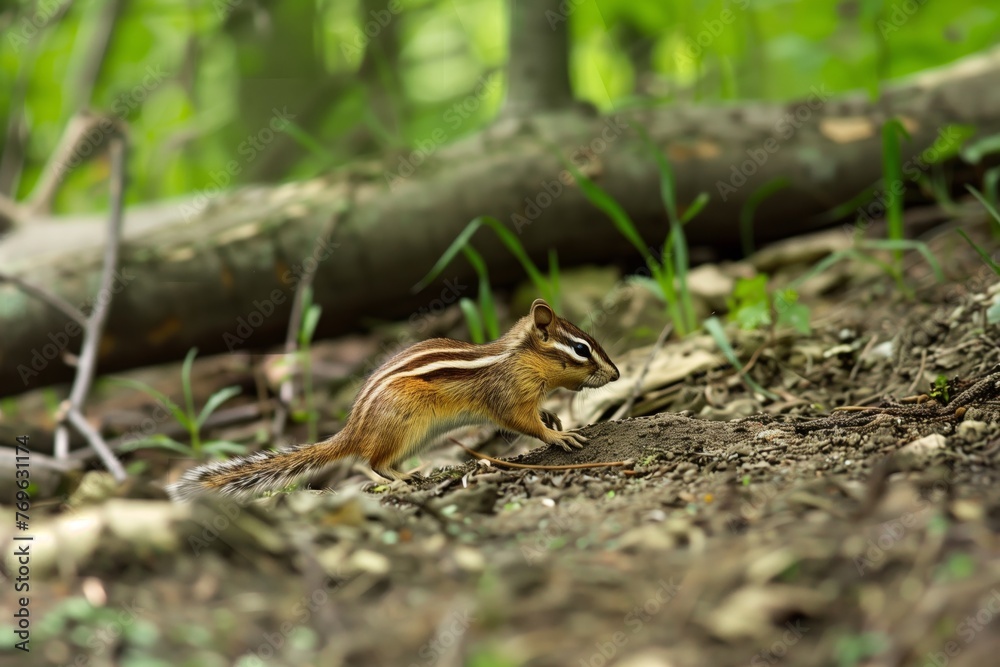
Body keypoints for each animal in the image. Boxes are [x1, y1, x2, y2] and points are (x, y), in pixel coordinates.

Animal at [167, 299, 619, 500]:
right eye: (581, 349)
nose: (616, 374)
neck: (517, 357)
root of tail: (351, 430)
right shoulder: (506, 395)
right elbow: (521, 423)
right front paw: (559, 435)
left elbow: (534, 414)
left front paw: (552, 417)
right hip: (403, 426)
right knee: (371, 463)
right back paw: (400, 479)